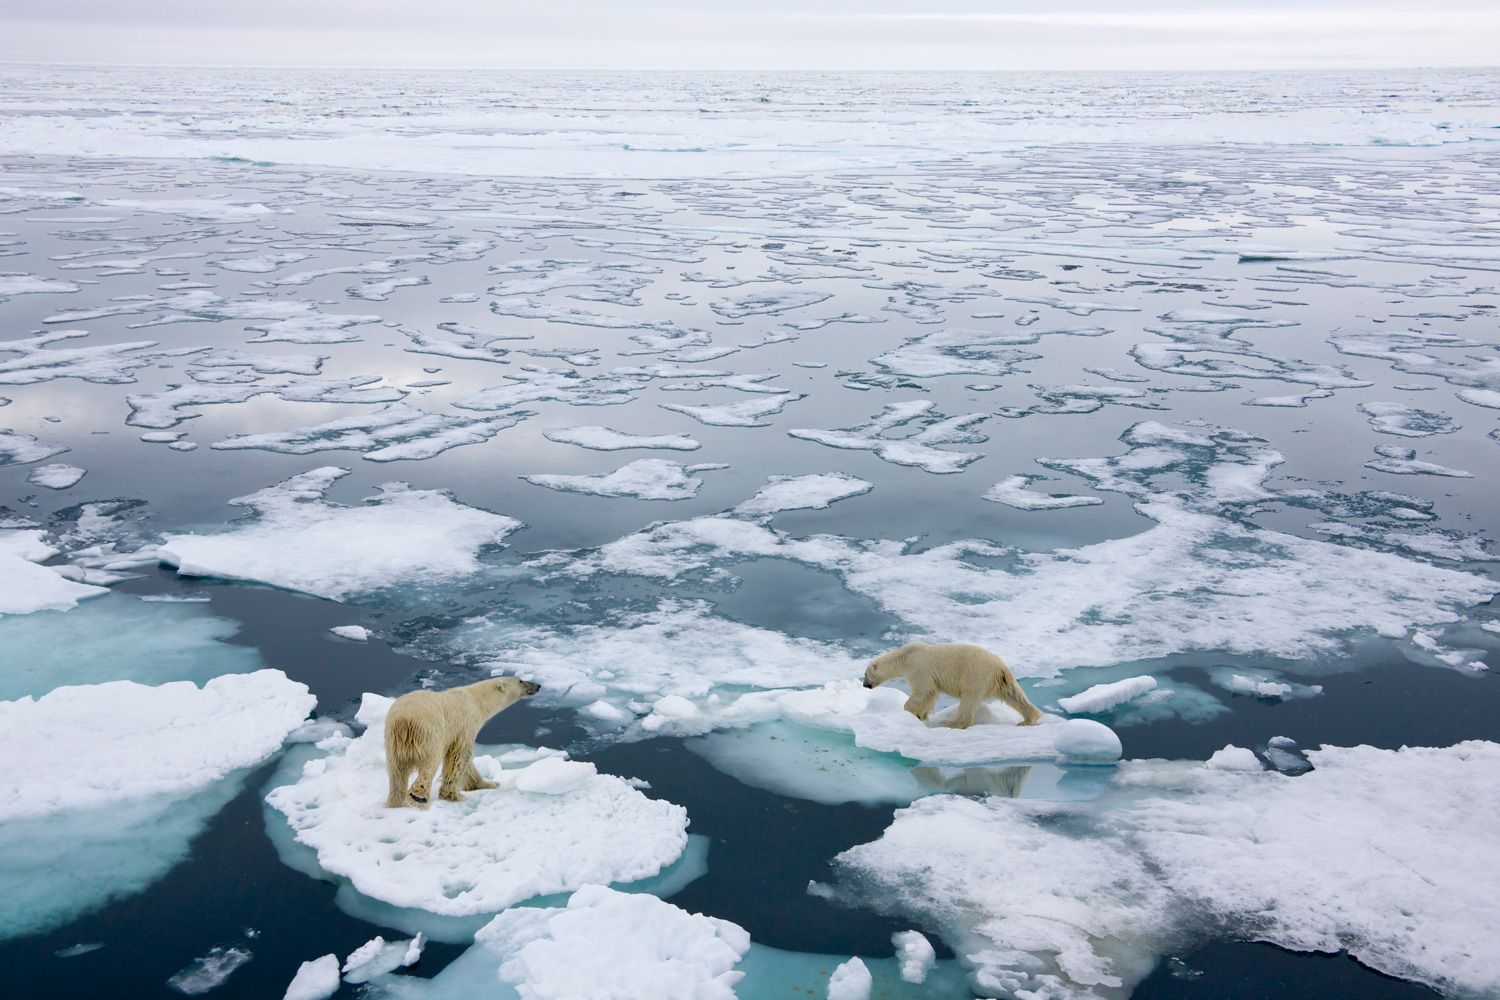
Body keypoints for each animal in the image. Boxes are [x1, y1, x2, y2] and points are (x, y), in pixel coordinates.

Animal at [384, 677, 543, 809]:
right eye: (520, 680)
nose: (538, 685)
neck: (476, 700)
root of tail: (403, 720)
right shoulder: (465, 725)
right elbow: (460, 757)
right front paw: (454, 795)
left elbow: (465, 764)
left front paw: (491, 783)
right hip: (428, 733)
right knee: (430, 763)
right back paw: (418, 797)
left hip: (392, 741)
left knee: (396, 770)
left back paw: (395, 800)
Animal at [864, 644, 1038, 731]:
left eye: (865, 674)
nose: (865, 685)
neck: (905, 655)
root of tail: (1000, 666)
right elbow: (930, 693)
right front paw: (922, 715)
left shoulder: (918, 667)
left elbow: (923, 690)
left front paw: (911, 712)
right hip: (1001, 680)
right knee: (1014, 695)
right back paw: (1028, 719)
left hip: (976, 675)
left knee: (969, 699)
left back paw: (953, 723)